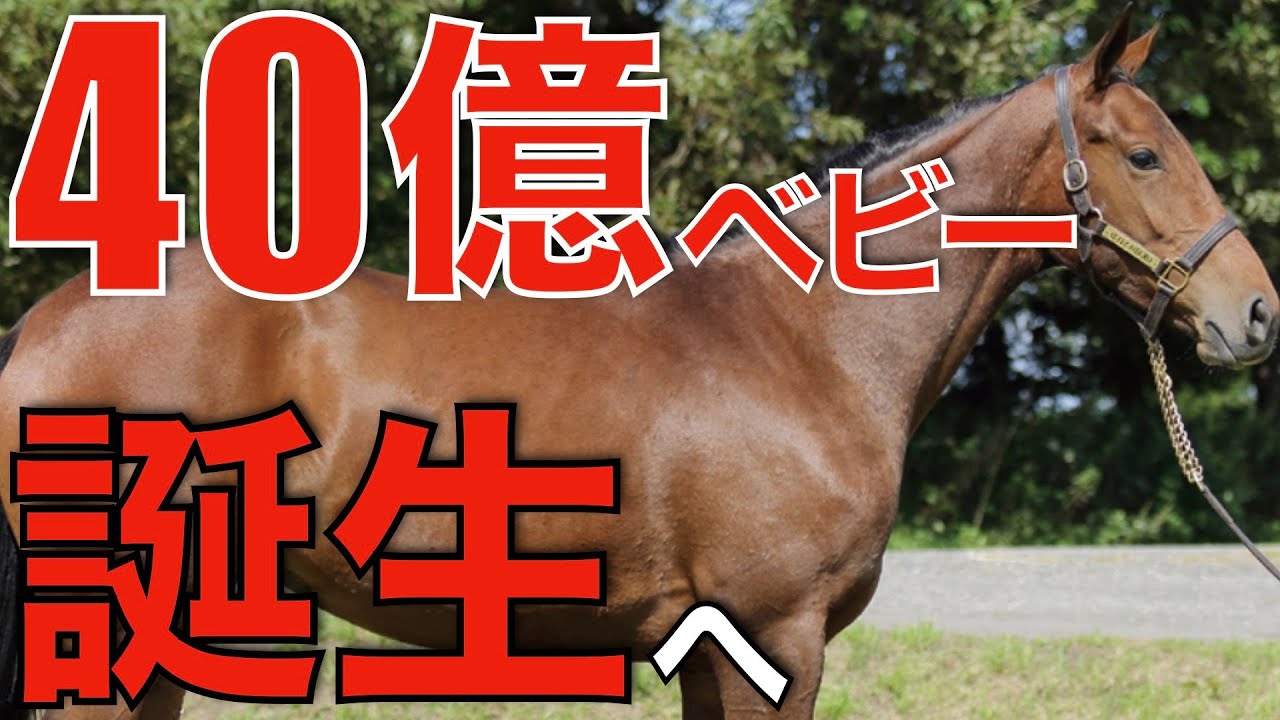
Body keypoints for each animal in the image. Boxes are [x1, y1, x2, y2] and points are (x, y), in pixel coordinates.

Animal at [1, 7, 1276, 719]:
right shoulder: (775, 638)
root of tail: (39, 327)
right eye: (1144, 156)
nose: (1254, 313)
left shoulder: (717, 648)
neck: (806, 342)